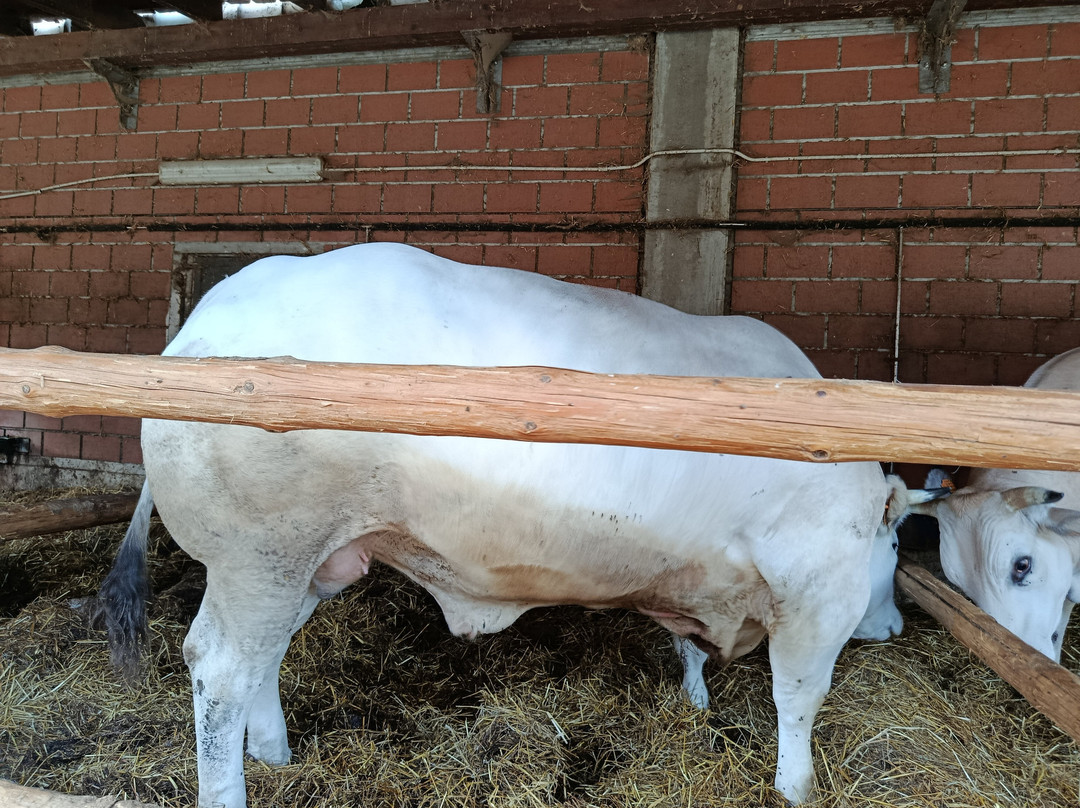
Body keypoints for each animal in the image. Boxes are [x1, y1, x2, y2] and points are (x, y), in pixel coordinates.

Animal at [99, 242, 927, 807]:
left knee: (262, 662)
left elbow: (691, 653)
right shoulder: (816, 587)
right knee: (219, 670)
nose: (893, 629)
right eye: (894, 549)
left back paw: (276, 756)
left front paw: (697, 702)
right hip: (261, 553)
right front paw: (796, 787)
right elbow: (799, 698)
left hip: (310, 558)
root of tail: (207, 318)